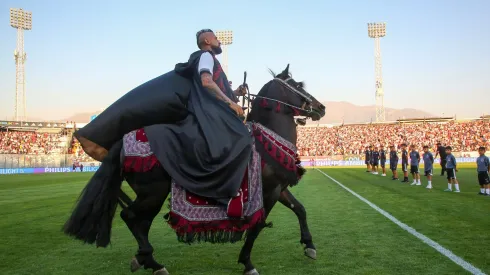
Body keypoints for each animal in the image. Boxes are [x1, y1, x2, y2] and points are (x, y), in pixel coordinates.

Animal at [63, 63, 328, 274]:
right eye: (298, 85)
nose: (320, 107)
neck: (267, 142)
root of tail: (120, 144)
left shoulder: (278, 188)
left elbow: (300, 209)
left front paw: (310, 246)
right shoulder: (268, 192)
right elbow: (256, 228)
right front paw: (247, 263)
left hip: (149, 196)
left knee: (140, 222)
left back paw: (142, 259)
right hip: (153, 193)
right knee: (130, 217)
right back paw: (154, 263)